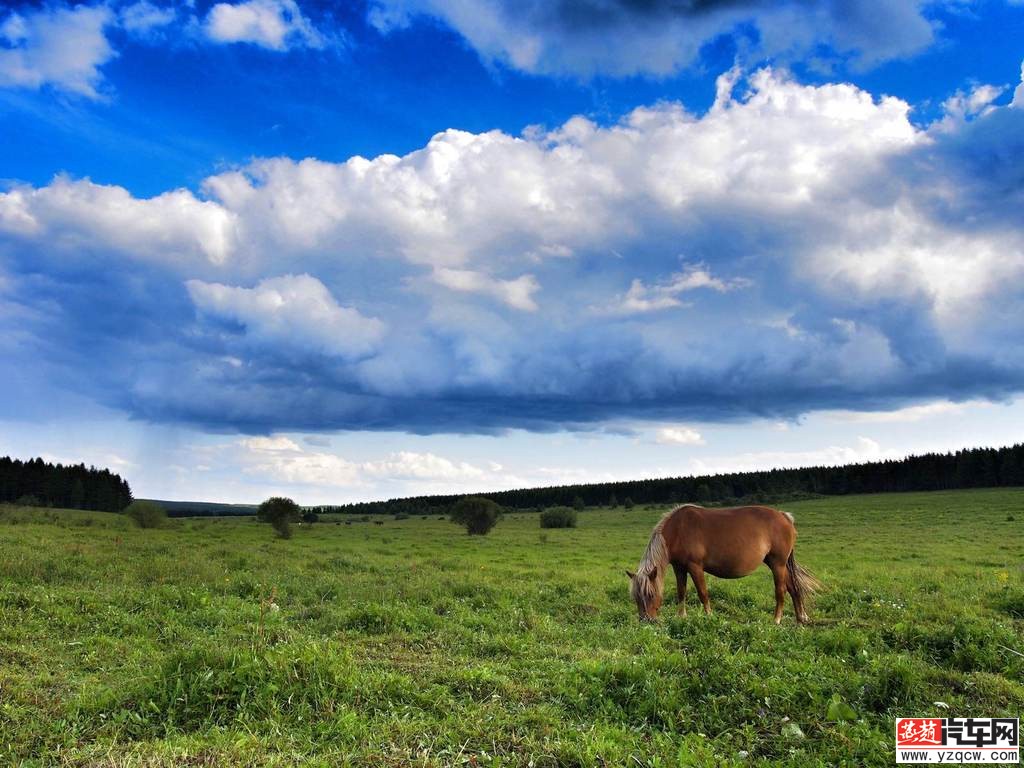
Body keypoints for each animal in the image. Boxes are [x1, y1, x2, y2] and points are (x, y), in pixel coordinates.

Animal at [618, 505, 819, 626]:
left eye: (651, 595)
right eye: (636, 597)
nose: (646, 621)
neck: (677, 530)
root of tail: (784, 516)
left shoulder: (695, 567)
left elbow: (703, 593)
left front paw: (709, 616)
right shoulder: (679, 567)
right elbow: (681, 592)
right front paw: (681, 617)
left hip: (778, 564)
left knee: (781, 591)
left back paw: (776, 620)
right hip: (778, 564)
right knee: (793, 588)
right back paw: (800, 618)